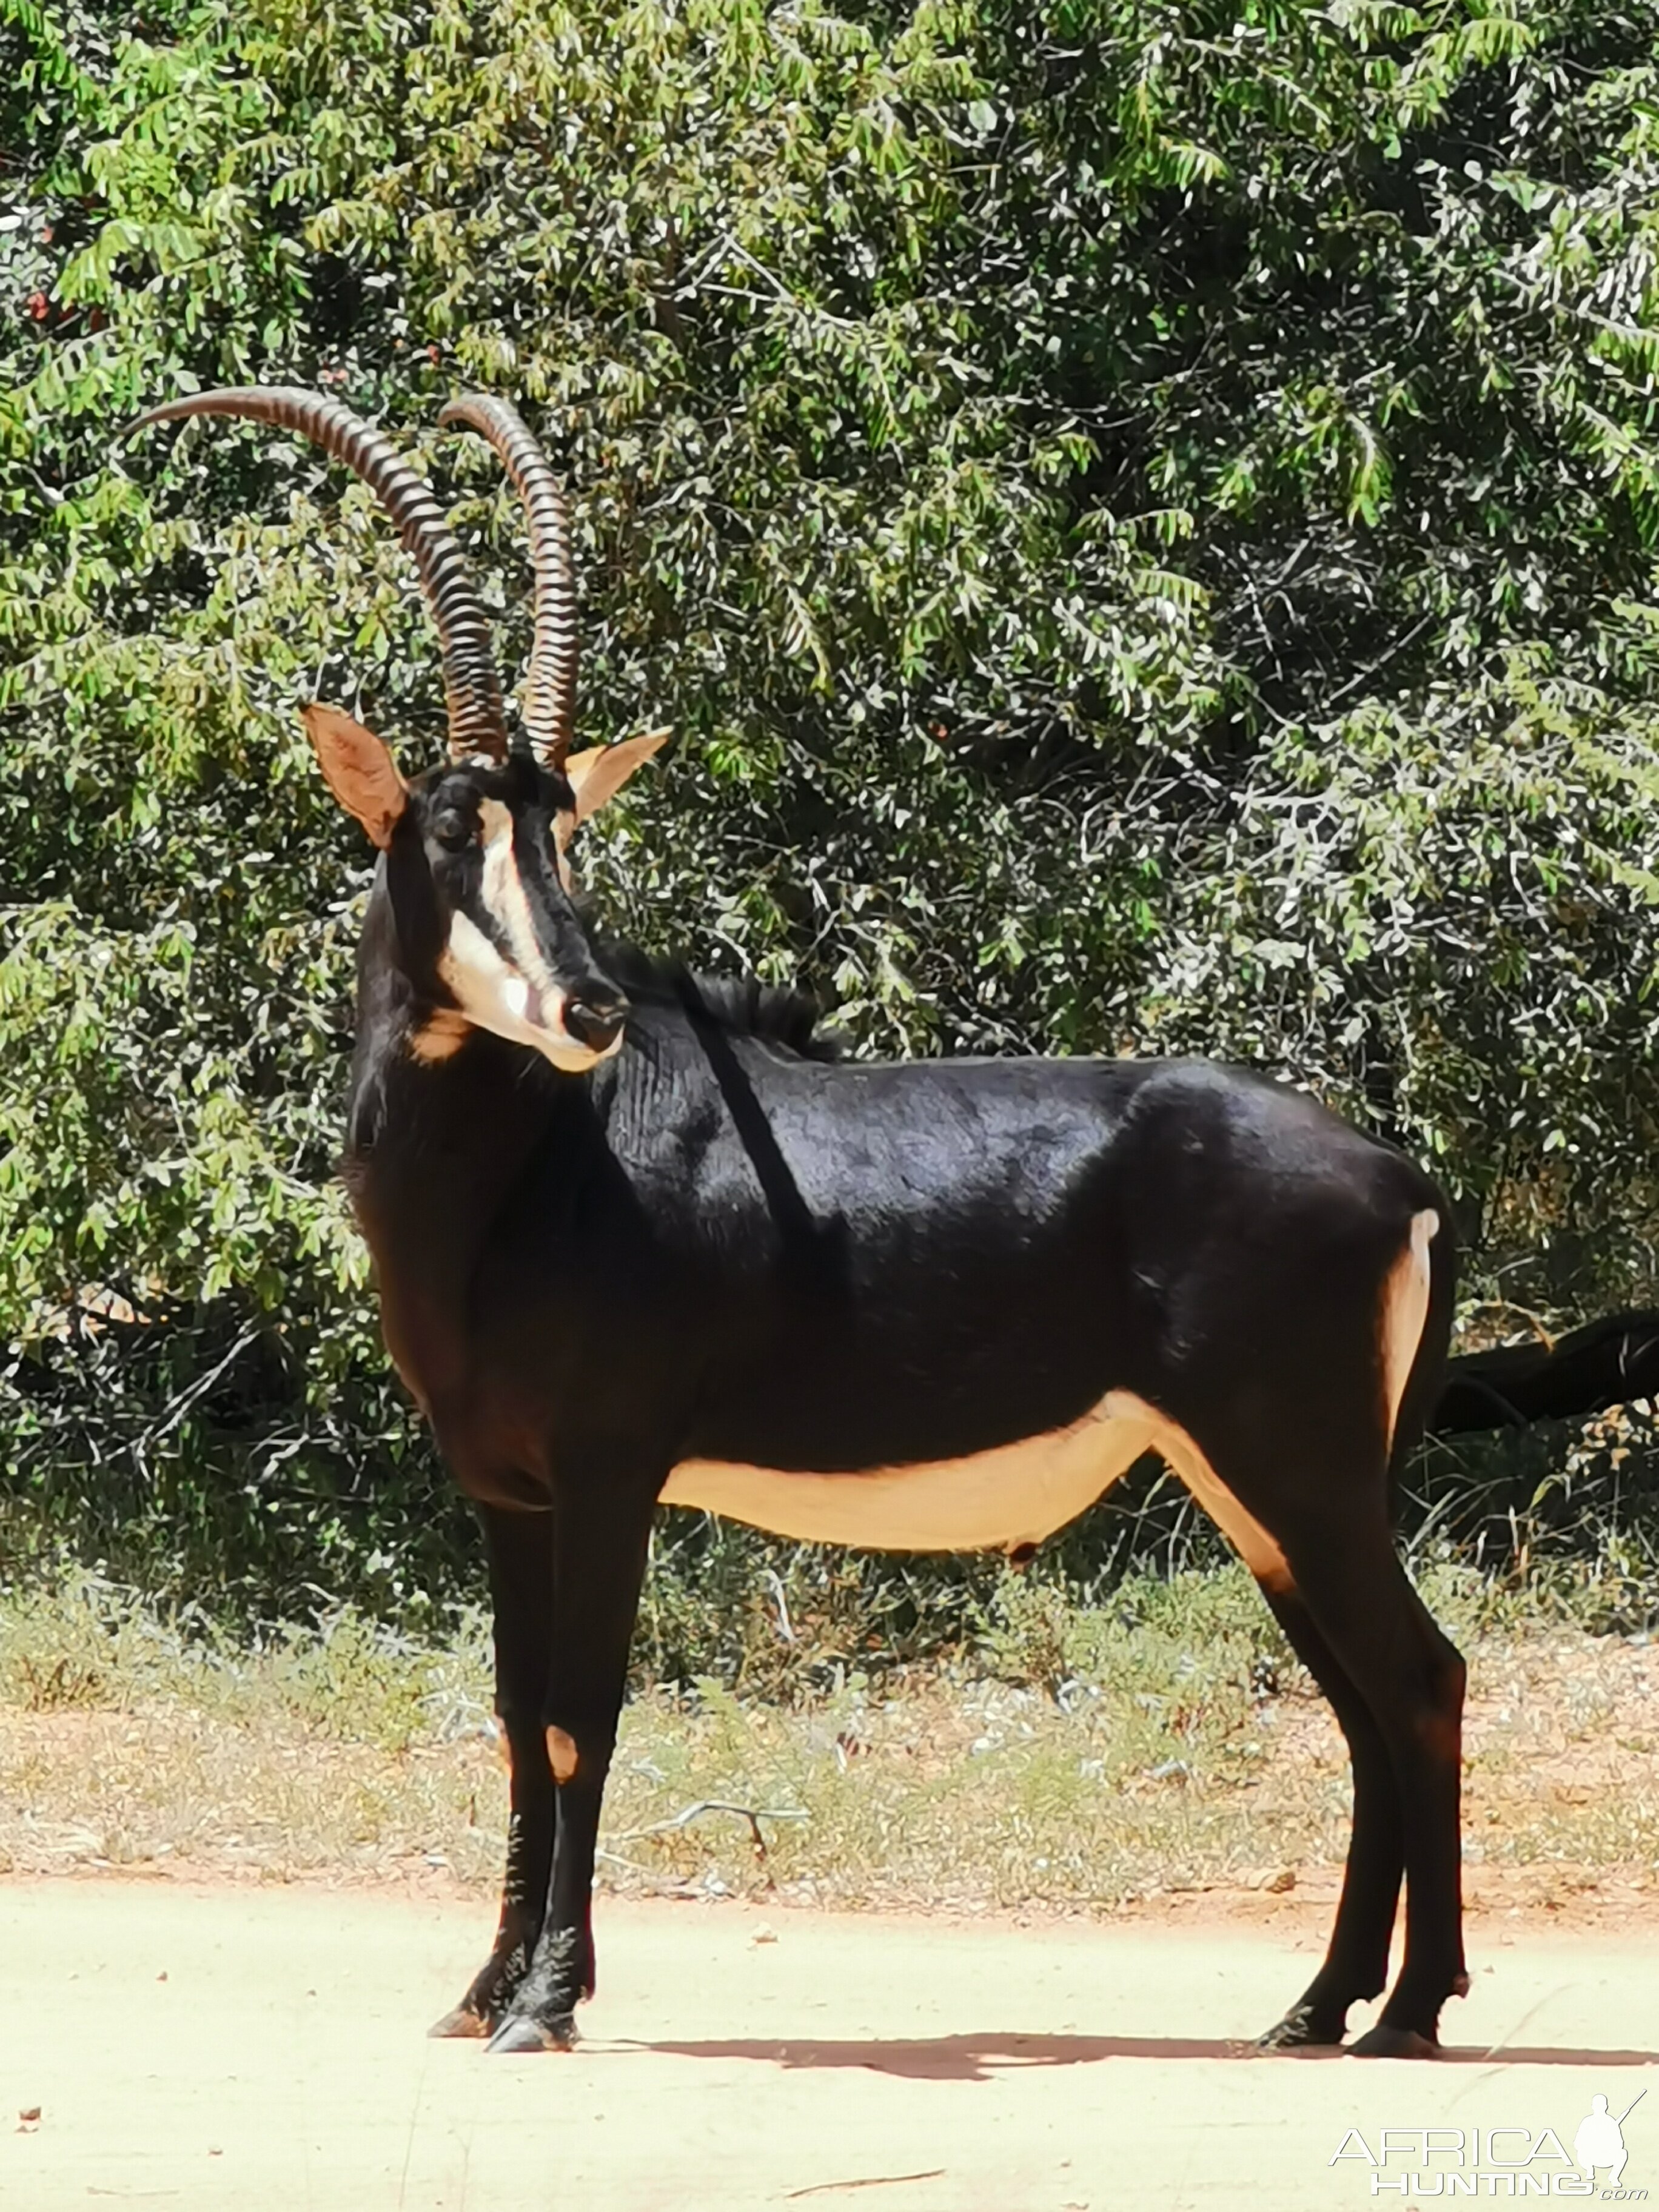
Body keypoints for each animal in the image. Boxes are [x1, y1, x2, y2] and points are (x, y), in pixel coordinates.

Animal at [136, 384, 1477, 2053]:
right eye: (454, 827)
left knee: (1417, 1681)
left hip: (1292, 1469)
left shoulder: (610, 1474)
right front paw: (482, 1990)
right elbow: (513, 1719)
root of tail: (1399, 1179)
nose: (585, 1007)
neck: (528, 1174)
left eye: (563, 827)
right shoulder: (507, 1494)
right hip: (1262, 1488)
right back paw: (1318, 2005)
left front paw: (549, 2003)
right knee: (1361, 1701)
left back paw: (1408, 2008)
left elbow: (579, 1719)